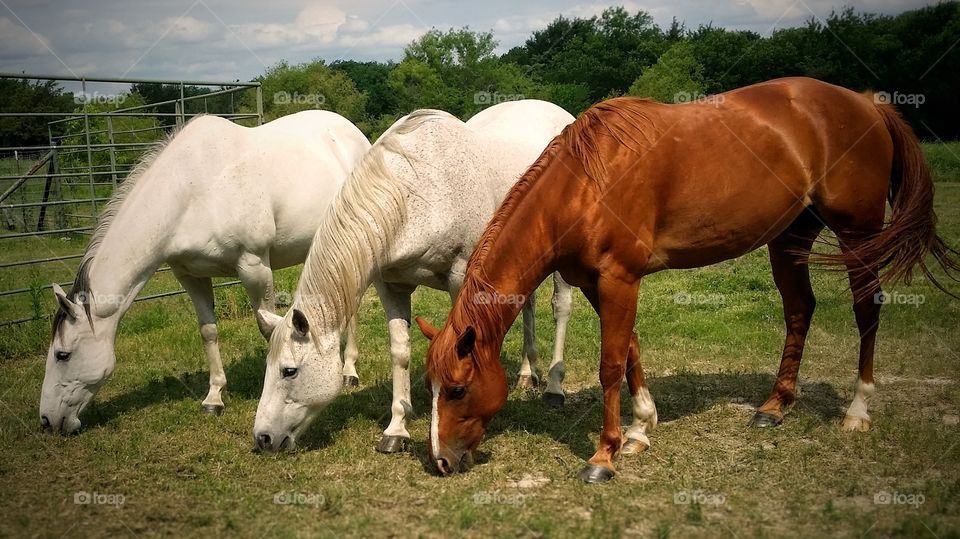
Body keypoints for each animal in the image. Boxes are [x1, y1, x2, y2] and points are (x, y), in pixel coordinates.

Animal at [40, 111, 371, 435]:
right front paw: (214, 398)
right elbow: (208, 331)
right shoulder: (190, 276)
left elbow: (267, 330)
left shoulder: (254, 267)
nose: (47, 421)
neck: (191, 192)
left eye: (62, 354)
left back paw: (349, 370)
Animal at [252, 100, 575, 454]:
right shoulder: (391, 285)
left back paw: (554, 388)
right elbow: (400, 352)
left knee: (561, 308)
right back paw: (527, 374)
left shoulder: (461, 279)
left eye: (289, 371)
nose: (263, 438)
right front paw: (396, 429)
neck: (419, 193)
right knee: (527, 304)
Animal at [416, 77, 959, 483]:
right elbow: (631, 350)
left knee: (867, 309)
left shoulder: (619, 278)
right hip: (790, 237)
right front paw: (641, 428)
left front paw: (604, 455)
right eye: (431, 385)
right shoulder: (600, 282)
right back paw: (775, 405)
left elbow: (610, 364)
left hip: (856, 232)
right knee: (799, 308)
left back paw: (857, 410)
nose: (441, 460)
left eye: (458, 389)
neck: (587, 182)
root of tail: (865, 103)